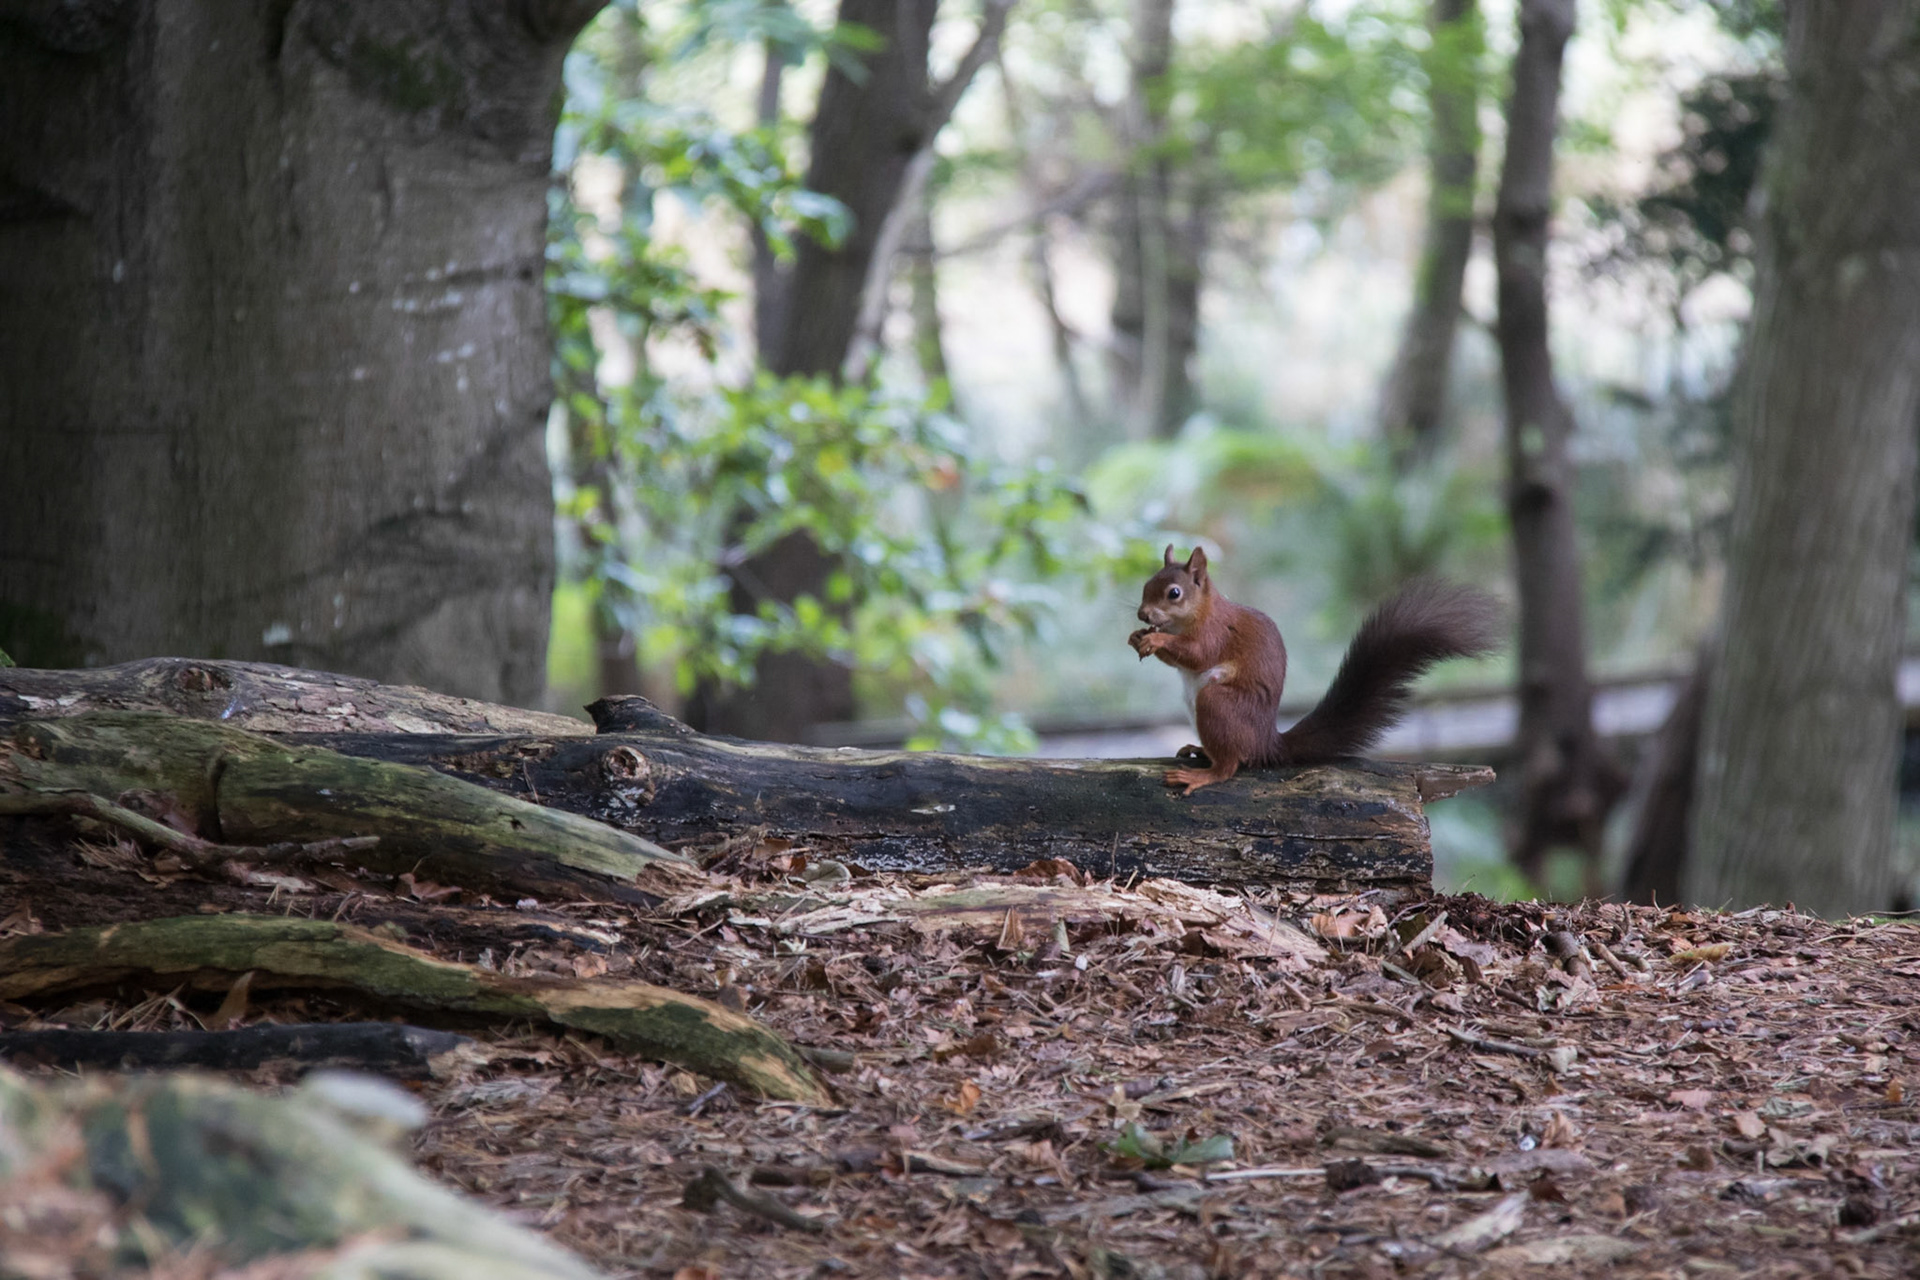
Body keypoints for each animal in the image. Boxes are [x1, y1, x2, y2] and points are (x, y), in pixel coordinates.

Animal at [1128, 546, 1502, 794]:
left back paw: (1204, 773)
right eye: (1146, 584)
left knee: (1232, 764)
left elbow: (1197, 654)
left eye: (1174, 593)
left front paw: (1156, 639)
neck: (1198, 613)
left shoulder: (1216, 632)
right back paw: (1200, 750)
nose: (1142, 614)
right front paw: (1138, 638)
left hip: (1218, 703)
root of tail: (1267, 742)